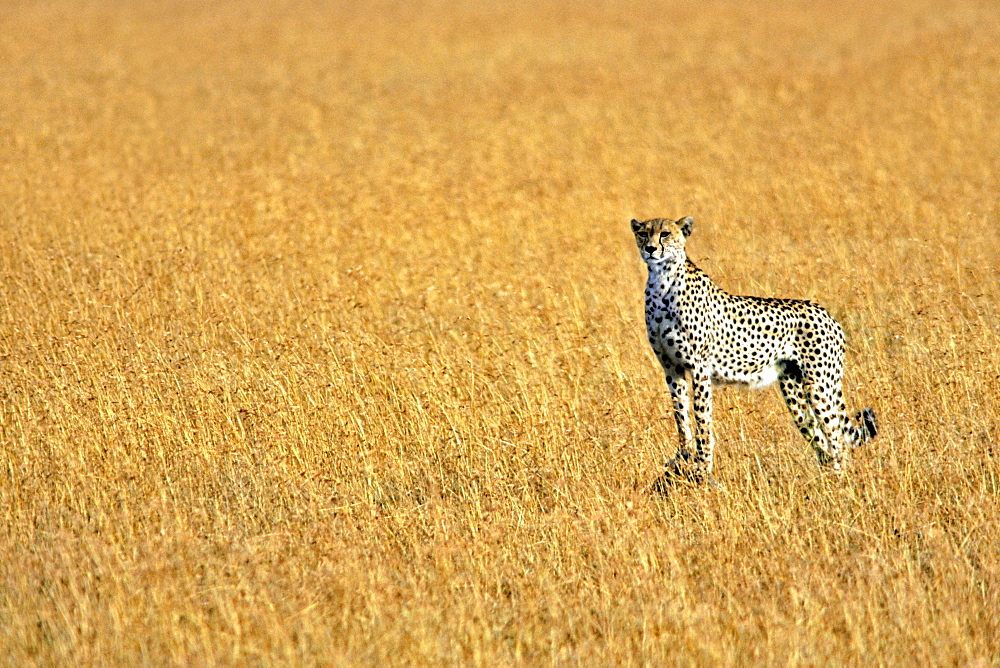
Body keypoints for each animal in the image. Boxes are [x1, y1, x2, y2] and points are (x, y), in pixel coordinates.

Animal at [632, 217, 876, 482]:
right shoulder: (671, 368)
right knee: (821, 440)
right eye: (644, 234)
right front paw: (682, 457)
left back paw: (840, 481)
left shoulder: (699, 368)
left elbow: (702, 419)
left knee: (837, 438)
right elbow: (681, 417)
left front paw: (703, 467)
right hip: (794, 392)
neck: (661, 281)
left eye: (665, 234)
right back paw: (825, 478)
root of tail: (826, 312)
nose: (651, 249)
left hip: (820, 385)